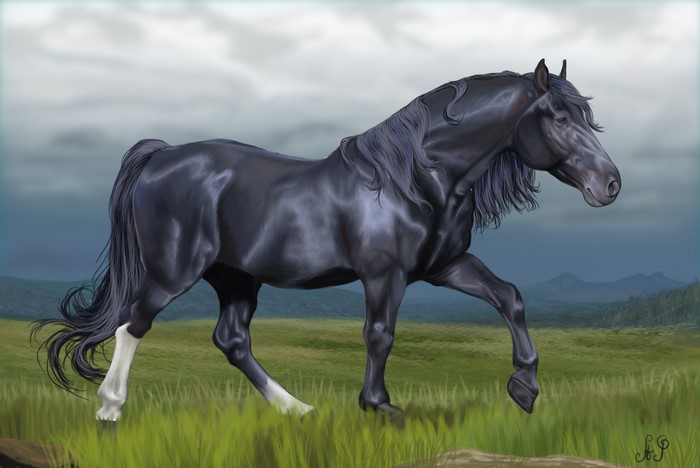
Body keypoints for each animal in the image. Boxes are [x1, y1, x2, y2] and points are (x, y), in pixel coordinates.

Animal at [32, 59, 621, 423]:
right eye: (558, 117)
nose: (610, 184)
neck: (416, 179)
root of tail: (163, 155)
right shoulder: (385, 274)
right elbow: (380, 334)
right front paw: (379, 405)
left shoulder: (445, 265)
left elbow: (510, 298)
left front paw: (525, 388)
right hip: (173, 271)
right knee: (132, 324)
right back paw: (110, 408)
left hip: (236, 278)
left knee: (232, 341)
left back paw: (298, 411)